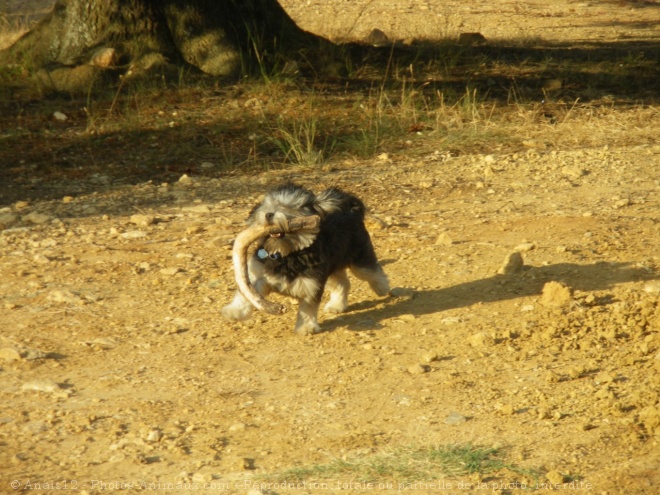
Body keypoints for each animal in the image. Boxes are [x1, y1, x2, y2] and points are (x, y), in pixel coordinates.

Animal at [223, 184, 386, 336]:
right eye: (268, 204)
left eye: (289, 207)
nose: (268, 214)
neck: (287, 254)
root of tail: (351, 211)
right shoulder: (259, 277)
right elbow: (246, 294)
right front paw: (234, 311)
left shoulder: (311, 284)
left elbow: (308, 308)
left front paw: (306, 327)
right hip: (332, 268)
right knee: (342, 283)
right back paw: (337, 305)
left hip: (359, 260)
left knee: (373, 272)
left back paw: (383, 288)